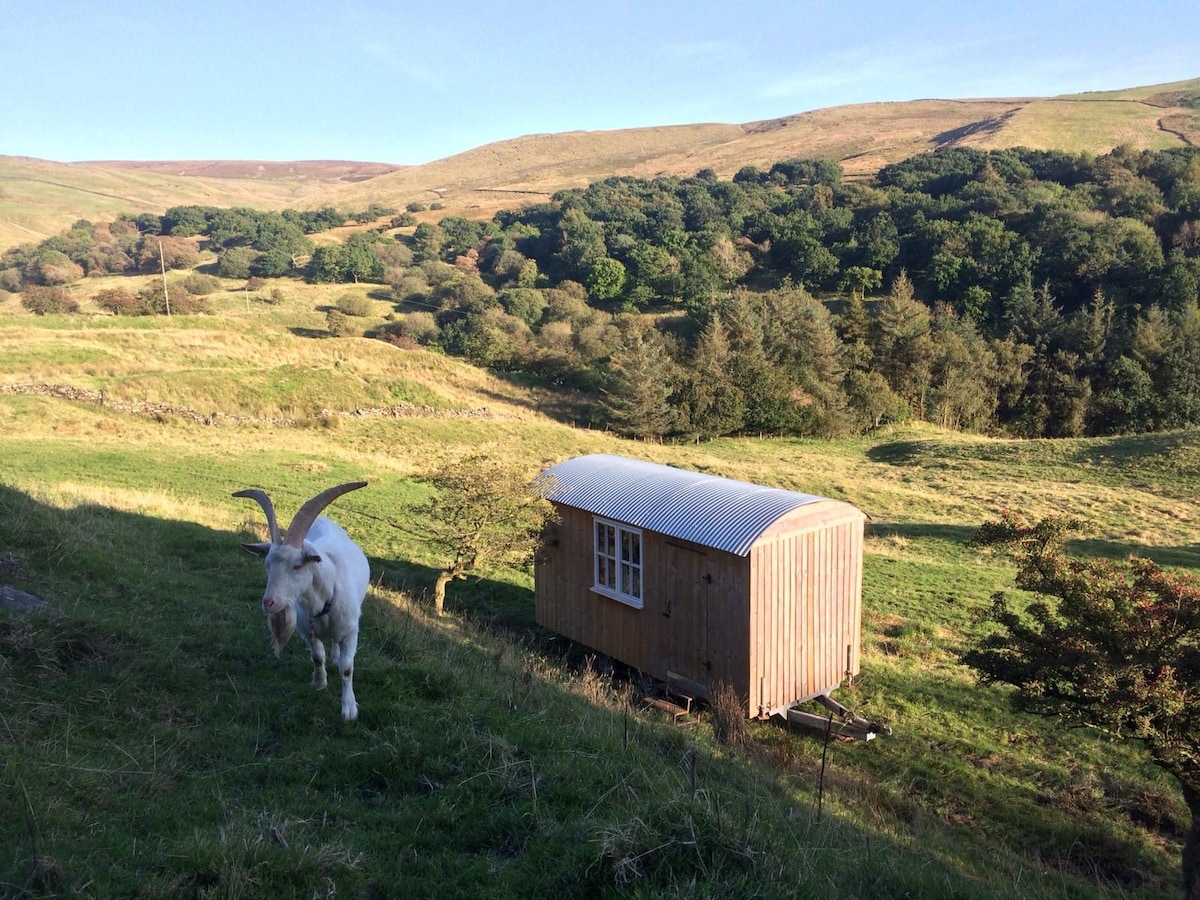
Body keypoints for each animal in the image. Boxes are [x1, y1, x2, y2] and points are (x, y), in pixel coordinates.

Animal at [232, 482, 364, 724]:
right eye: (267, 564)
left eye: (297, 565)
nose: (269, 602)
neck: (324, 601)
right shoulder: (307, 630)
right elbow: (317, 657)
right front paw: (319, 683)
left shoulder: (351, 631)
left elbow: (347, 668)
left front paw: (349, 709)